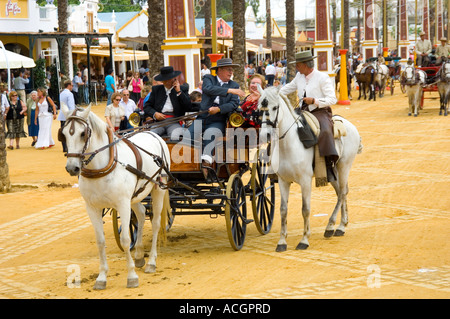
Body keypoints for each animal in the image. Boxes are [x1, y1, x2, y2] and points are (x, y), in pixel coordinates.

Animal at [59, 104, 171, 290]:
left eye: (83, 134)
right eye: (64, 134)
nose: (72, 168)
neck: (100, 168)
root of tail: (153, 133)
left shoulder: (122, 204)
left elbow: (125, 239)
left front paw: (131, 276)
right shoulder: (92, 207)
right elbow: (100, 241)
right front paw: (101, 277)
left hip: (158, 188)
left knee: (155, 223)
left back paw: (151, 262)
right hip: (135, 194)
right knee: (141, 214)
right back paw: (139, 255)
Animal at [256, 87, 362, 252]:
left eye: (275, 107)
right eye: (259, 108)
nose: (264, 135)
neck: (288, 144)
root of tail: (350, 125)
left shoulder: (305, 181)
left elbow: (305, 209)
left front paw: (304, 240)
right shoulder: (283, 181)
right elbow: (283, 210)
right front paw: (282, 241)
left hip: (344, 166)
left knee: (343, 193)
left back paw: (335, 226)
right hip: (333, 172)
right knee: (341, 192)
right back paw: (339, 225)